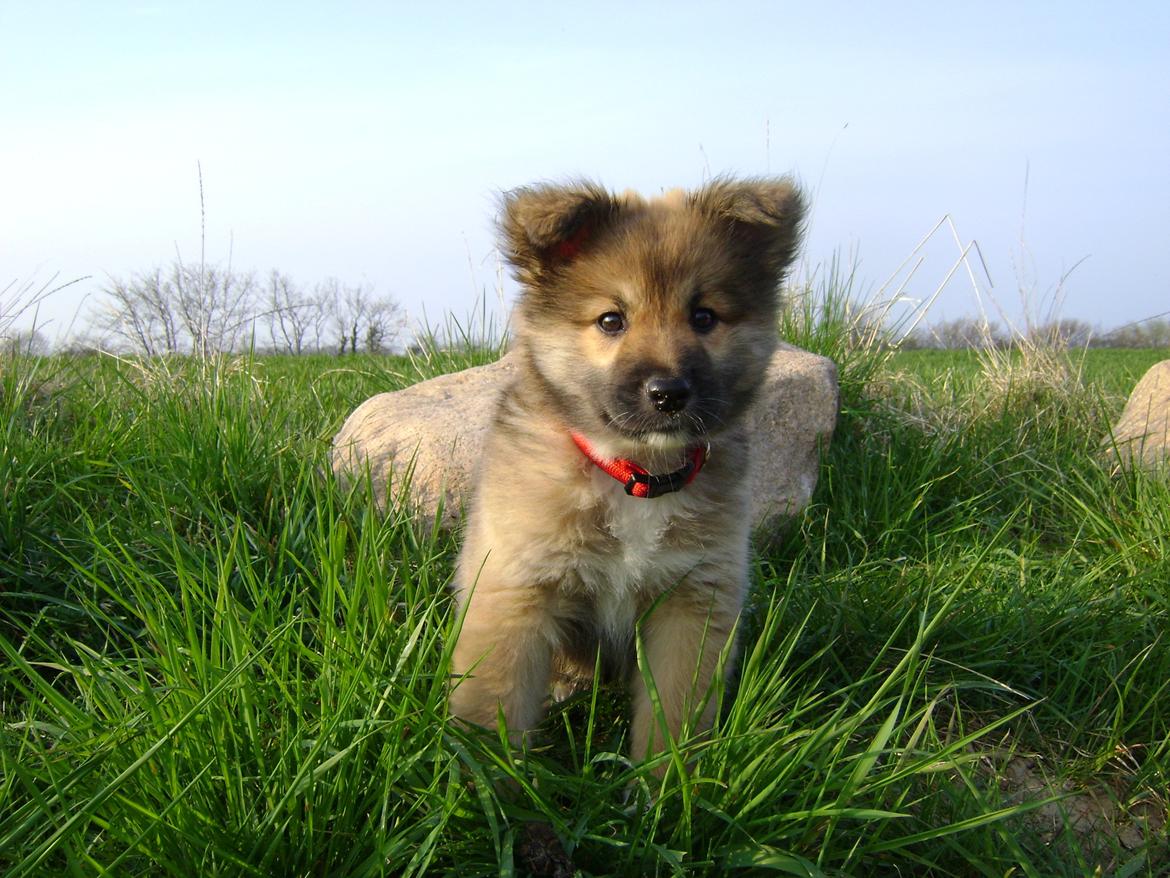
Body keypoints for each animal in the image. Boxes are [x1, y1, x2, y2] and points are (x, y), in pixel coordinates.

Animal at [446, 175, 804, 767]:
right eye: (611, 320)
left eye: (704, 317)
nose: (669, 393)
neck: (635, 476)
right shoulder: (517, 597)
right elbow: (493, 707)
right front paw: (486, 782)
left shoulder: (692, 604)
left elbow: (674, 717)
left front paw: (667, 784)